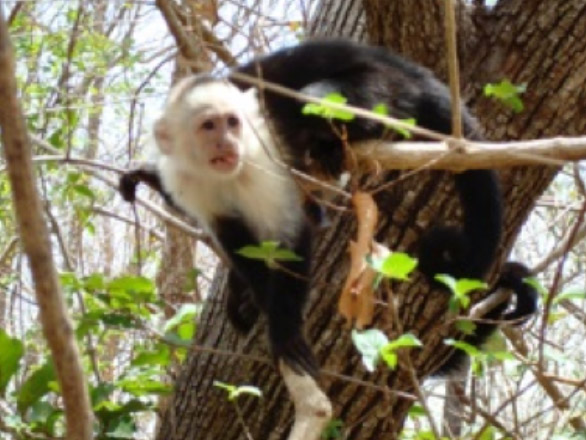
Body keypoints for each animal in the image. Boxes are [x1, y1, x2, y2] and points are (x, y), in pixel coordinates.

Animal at [120, 38, 540, 374]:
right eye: (209, 126)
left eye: (233, 122)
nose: (227, 143)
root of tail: (409, 70)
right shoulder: (188, 181)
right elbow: (235, 239)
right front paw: (256, 296)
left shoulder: (259, 158)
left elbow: (291, 235)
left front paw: (284, 330)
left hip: (383, 86)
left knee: (316, 99)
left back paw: (333, 148)